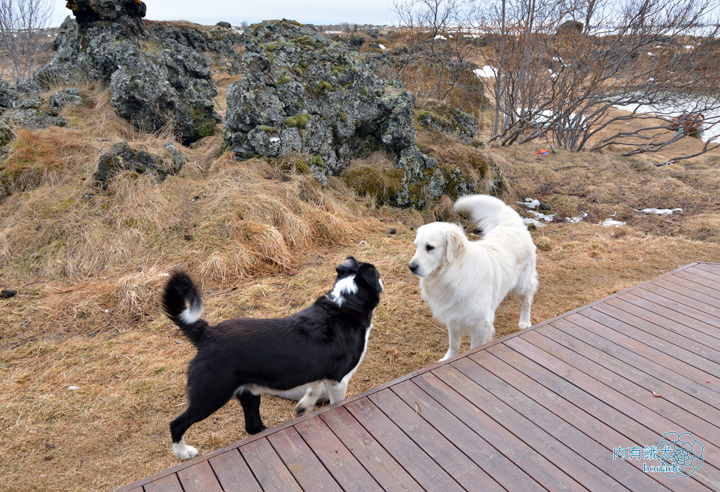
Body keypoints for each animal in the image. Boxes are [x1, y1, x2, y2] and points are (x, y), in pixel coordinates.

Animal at [159, 256, 382, 460]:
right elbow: (335, 401)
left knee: (252, 426)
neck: (346, 303)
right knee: (176, 424)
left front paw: (304, 406)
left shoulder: (320, 372)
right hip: (211, 395)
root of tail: (206, 332)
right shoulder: (339, 379)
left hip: (248, 393)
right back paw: (183, 452)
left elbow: (315, 389)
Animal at [408, 194, 536, 360]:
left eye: (430, 247)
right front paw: (448, 358)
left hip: (522, 284)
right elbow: (453, 345)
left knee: (526, 301)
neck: (453, 273)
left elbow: (474, 348)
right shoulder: (453, 317)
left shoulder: (480, 324)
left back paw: (525, 322)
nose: (411, 267)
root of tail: (511, 224)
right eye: (416, 246)